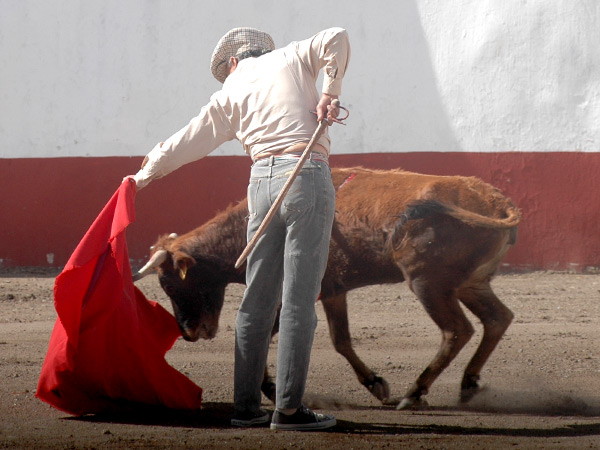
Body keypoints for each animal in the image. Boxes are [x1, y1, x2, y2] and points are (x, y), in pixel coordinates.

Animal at [135, 167, 520, 410]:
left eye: (168, 283)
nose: (188, 332)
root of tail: (498, 204)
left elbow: (267, 330)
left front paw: (273, 390)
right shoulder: (334, 290)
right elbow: (341, 340)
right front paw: (374, 384)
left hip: (428, 282)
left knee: (456, 330)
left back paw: (415, 392)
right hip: (471, 283)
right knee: (497, 319)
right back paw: (468, 384)